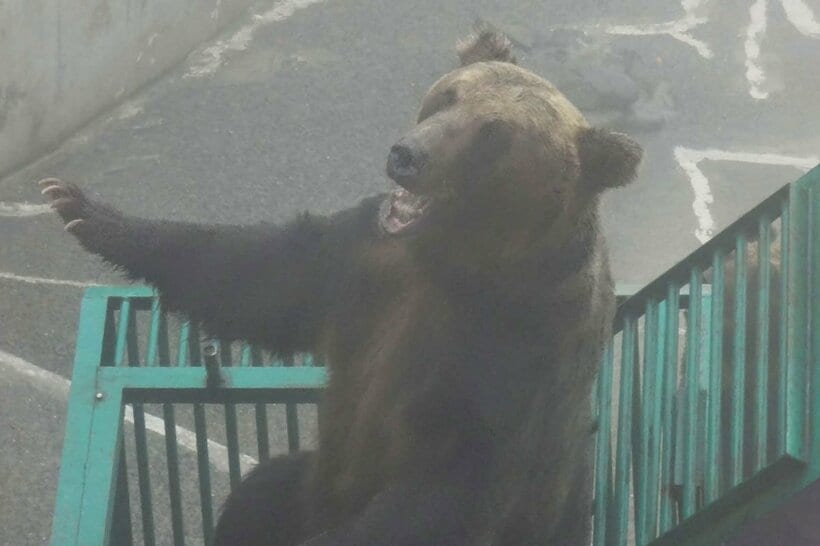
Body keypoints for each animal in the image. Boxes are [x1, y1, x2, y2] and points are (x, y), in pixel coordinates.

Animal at [41, 25, 642, 546]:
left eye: (494, 134)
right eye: (449, 96)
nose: (407, 155)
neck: (460, 260)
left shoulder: (513, 352)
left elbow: (448, 485)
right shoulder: (367, 260)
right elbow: (262, 276)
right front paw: (81, 207)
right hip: (305, 488)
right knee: (257, 496)